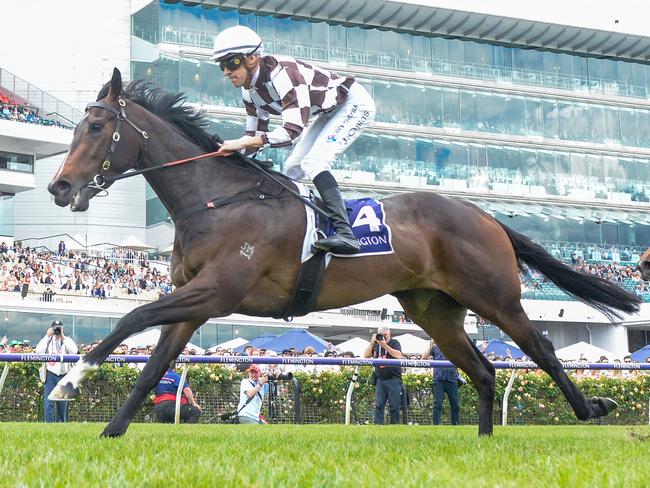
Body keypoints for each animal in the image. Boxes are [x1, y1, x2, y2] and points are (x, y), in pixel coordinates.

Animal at [46, 67, 636, 434]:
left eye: (95, 125)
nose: (59, 186)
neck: (216, 200)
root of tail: (487, 216)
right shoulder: (194, 302)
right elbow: (152, 366)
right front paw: (109, 431)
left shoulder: (216, 292)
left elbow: (131, 318)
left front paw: (67, 384)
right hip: (435, 310)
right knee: (484, 371)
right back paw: (485, 441)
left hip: (497, 298)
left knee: (542, 348)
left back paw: (592, 407)